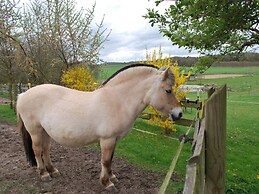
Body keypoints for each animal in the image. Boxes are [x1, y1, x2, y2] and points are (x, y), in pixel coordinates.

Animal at [16, 63, 183, 189]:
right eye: (168, 90)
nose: (179, 114)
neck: (118, 100)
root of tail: (22, 94)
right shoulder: (107, 140)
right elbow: (106, 160)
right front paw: (107, 183)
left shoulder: (115, 140)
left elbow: (111, 160)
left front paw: (112, 177)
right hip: (36, 131)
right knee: (37, 151)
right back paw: (44, 174)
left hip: (45, 132)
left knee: (45, 150)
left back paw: (53, 171)